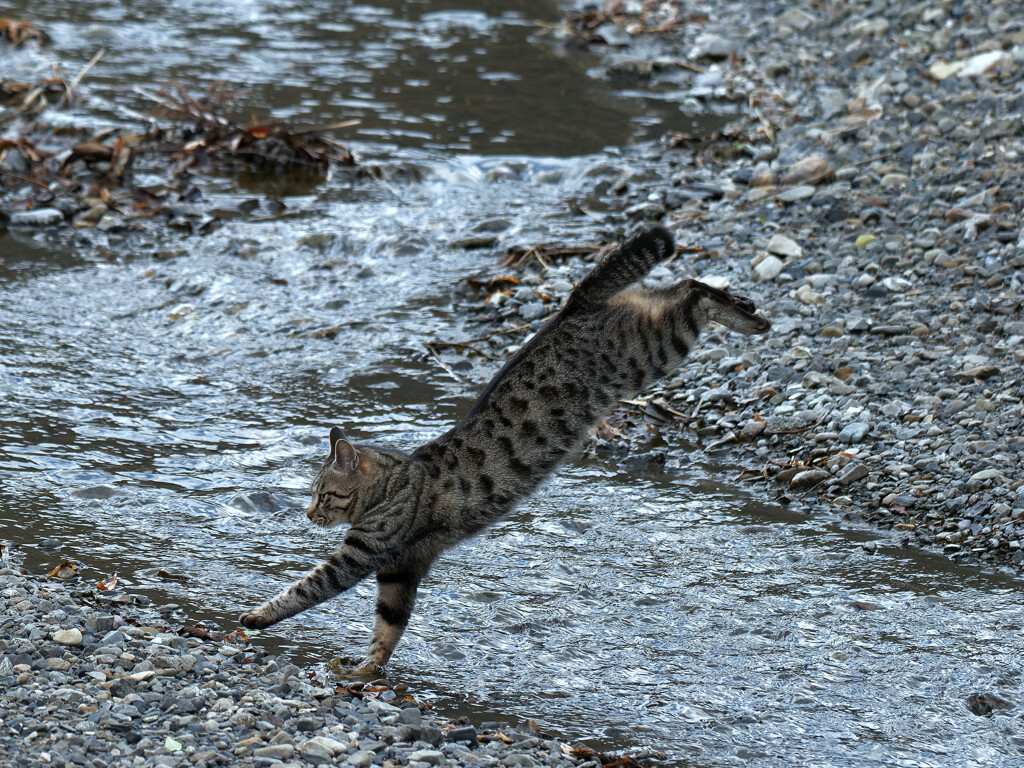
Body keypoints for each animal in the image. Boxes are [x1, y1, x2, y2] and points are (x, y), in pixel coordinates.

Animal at [239, 225, 770, 671]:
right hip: (646, 336)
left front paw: (257, 617)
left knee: (692, 292)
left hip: (651, 350)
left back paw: (743, 314)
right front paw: (368, 668)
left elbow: (305, 589)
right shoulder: (400, 571)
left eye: (322, 495)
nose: (308, 514)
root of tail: (569, 308)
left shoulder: (363, 556)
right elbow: (387, 630)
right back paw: (747, 307)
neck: (393, 484)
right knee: (674, 286)